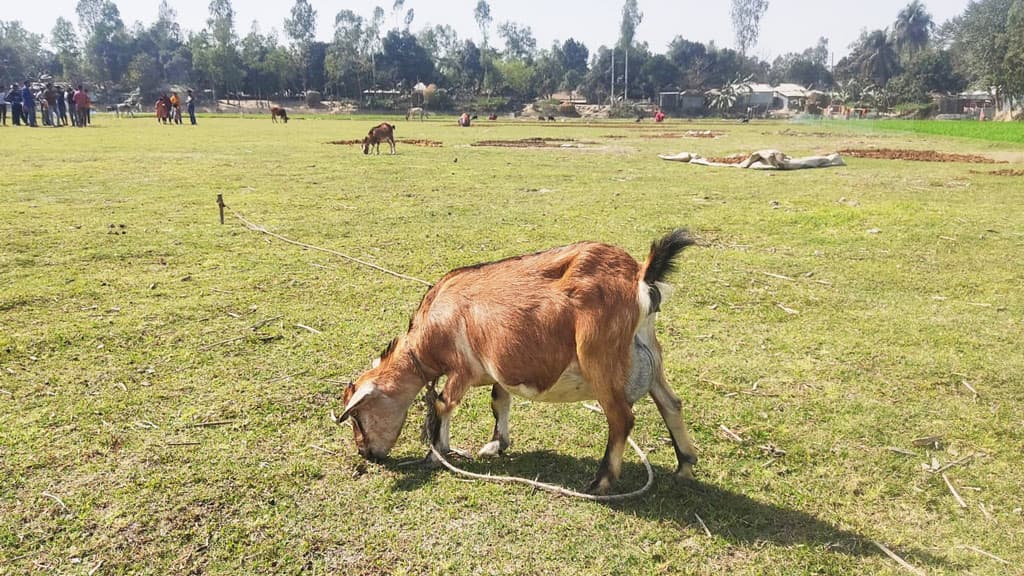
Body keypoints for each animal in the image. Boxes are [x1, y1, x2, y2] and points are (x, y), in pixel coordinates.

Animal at [339, 228, 700, 494]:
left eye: (356, 416)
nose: (365, 453)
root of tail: (639, 275)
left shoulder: (462, 370)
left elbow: (444, 404)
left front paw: (435, 455)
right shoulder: (498, 369)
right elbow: (499, 401)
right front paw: (496, 445)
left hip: (600, 358)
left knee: (622, 418)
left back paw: (601, 482)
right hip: (650, 353)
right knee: (671, 403)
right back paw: (685, 465)